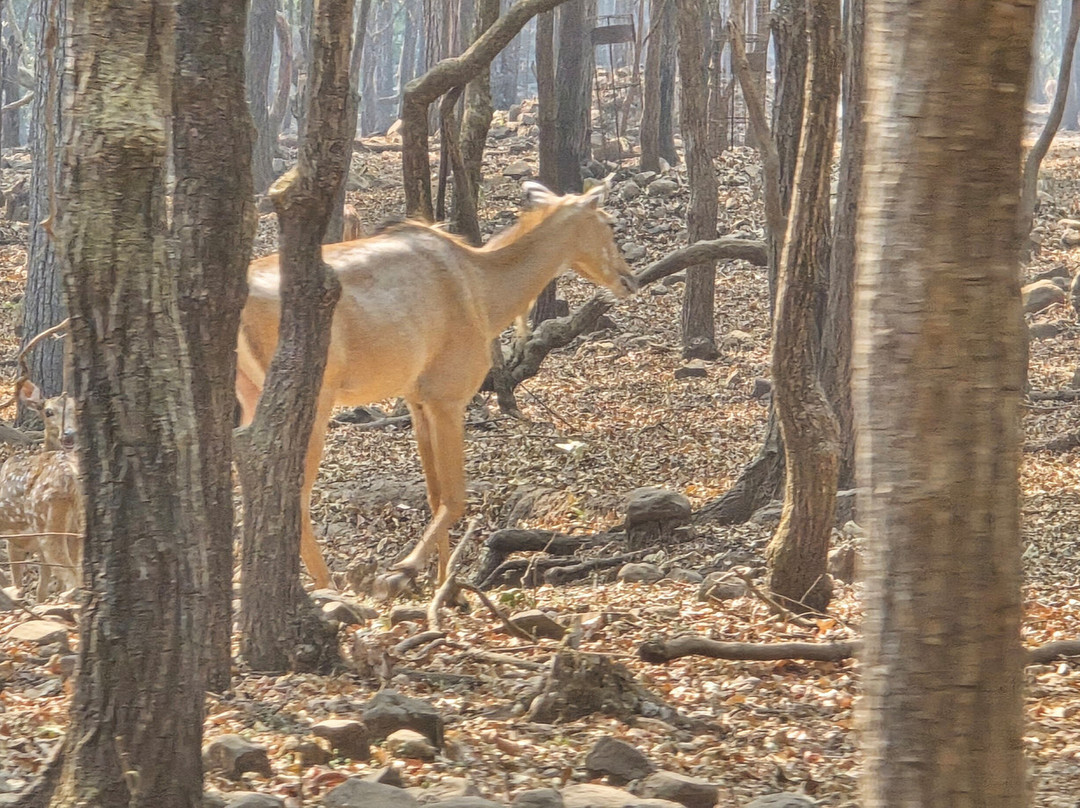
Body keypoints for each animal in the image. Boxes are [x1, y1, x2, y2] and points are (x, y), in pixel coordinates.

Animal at [235, 180, 638, 596]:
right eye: (609, 223)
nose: (630, 278)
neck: (485, 290)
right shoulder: (449, 392)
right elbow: (456, 497)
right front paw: (403, 571)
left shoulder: (417, 397)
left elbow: (434, 494)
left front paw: (444, 586)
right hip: (315, 398)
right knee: (289, 491)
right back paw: (327, 583)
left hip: (249, 393)